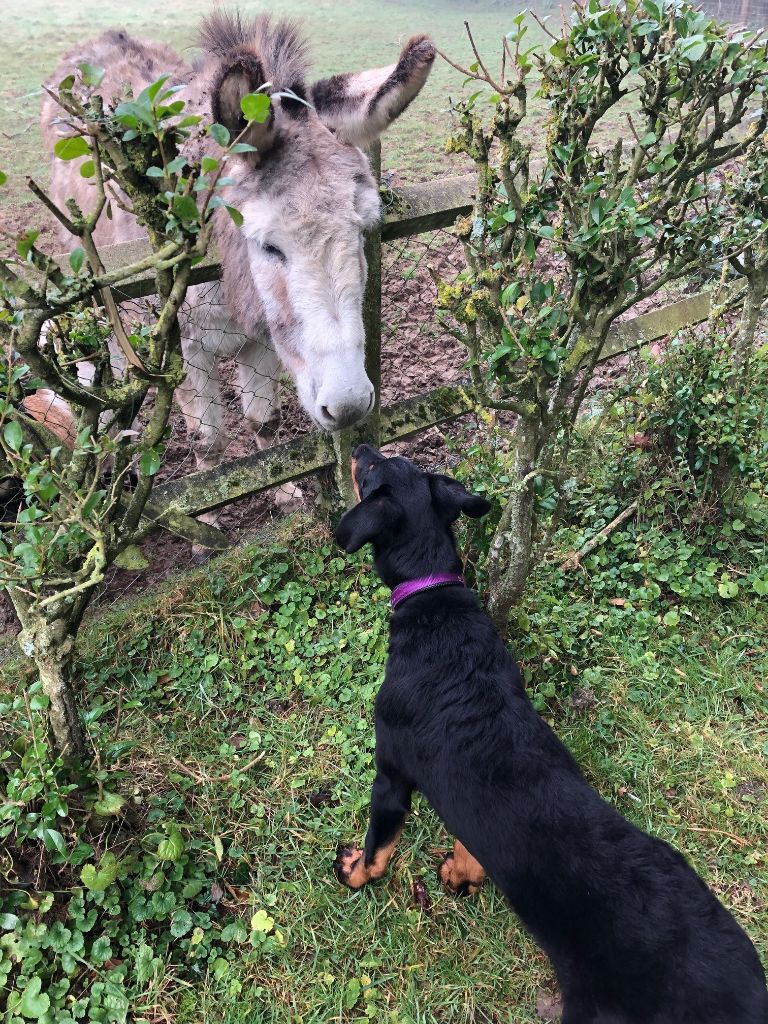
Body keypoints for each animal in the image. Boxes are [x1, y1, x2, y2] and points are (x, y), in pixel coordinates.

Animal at [333, 446, 765, 1024]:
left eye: (374, 470)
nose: (358, 448)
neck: (433, 600)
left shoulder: (391, 777)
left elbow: (378, 846)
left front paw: (355, 872)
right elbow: (468, 841)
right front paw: (463, 873)